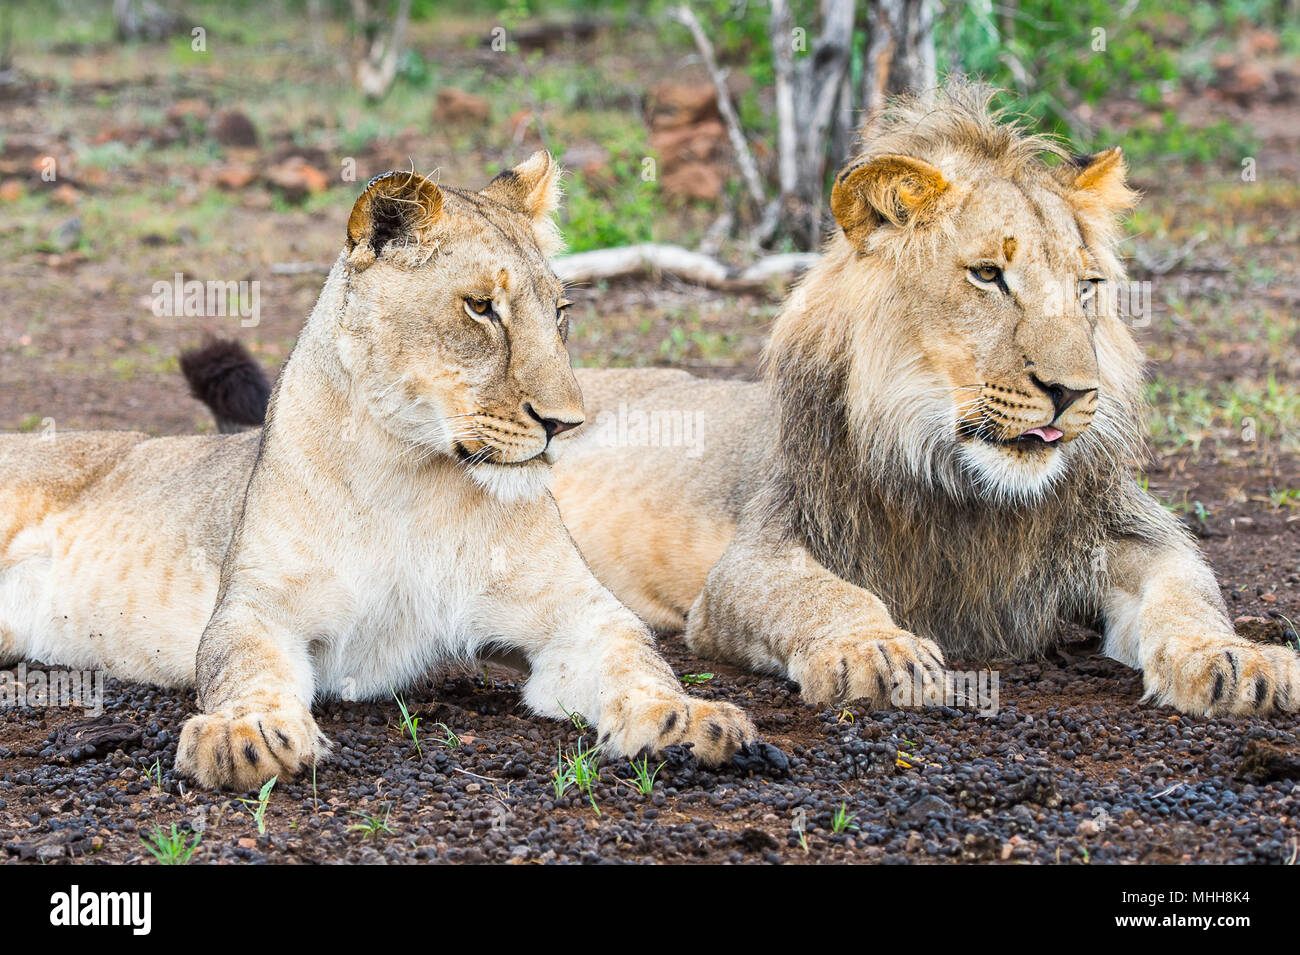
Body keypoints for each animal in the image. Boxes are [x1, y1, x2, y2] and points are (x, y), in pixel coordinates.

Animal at [0, 152, 755, 790]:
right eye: (481, 307)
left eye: (560, 312)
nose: (565, 423)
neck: (407, 475)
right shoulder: (254, 604)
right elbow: (244, 666)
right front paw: (247, 733)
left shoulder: (576, 609)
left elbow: (637, 653)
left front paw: (687, 717)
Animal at [549, 85, 1300, 716]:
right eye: (989, 275)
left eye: (1086, 286)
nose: (1072, 393)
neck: (965, 485)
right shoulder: (757, 552)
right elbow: (819, 593)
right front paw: (874, 649)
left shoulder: (1124, 530)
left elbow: (1188, 588)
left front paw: (1233, 658)